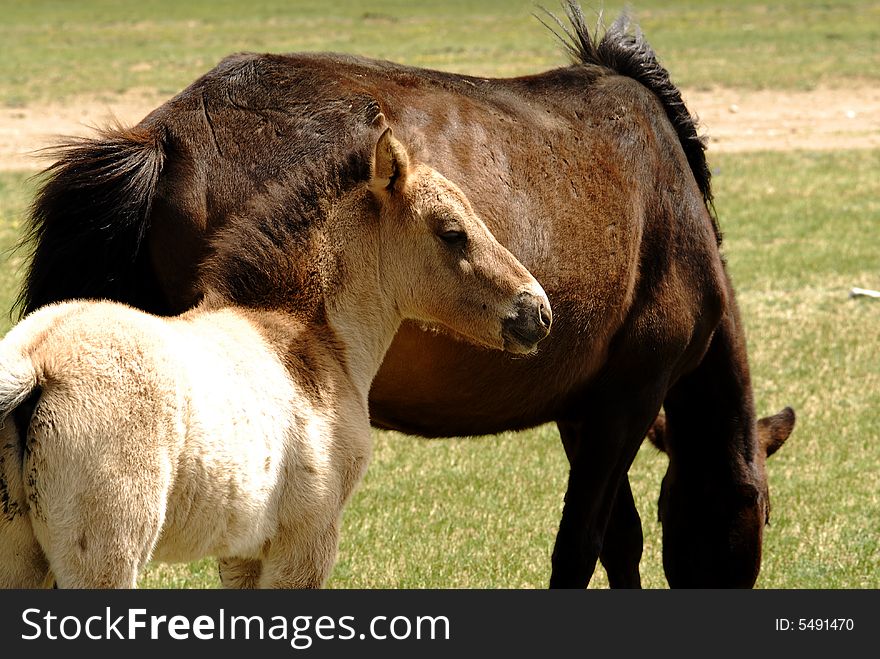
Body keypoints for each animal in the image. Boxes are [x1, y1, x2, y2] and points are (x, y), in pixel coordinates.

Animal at [17, 3, 792, 588]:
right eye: (761, 511)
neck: (674, 203)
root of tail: (164, 136)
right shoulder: (627, 398)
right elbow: (584, 545)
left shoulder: (586, 406)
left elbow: (615, 540)